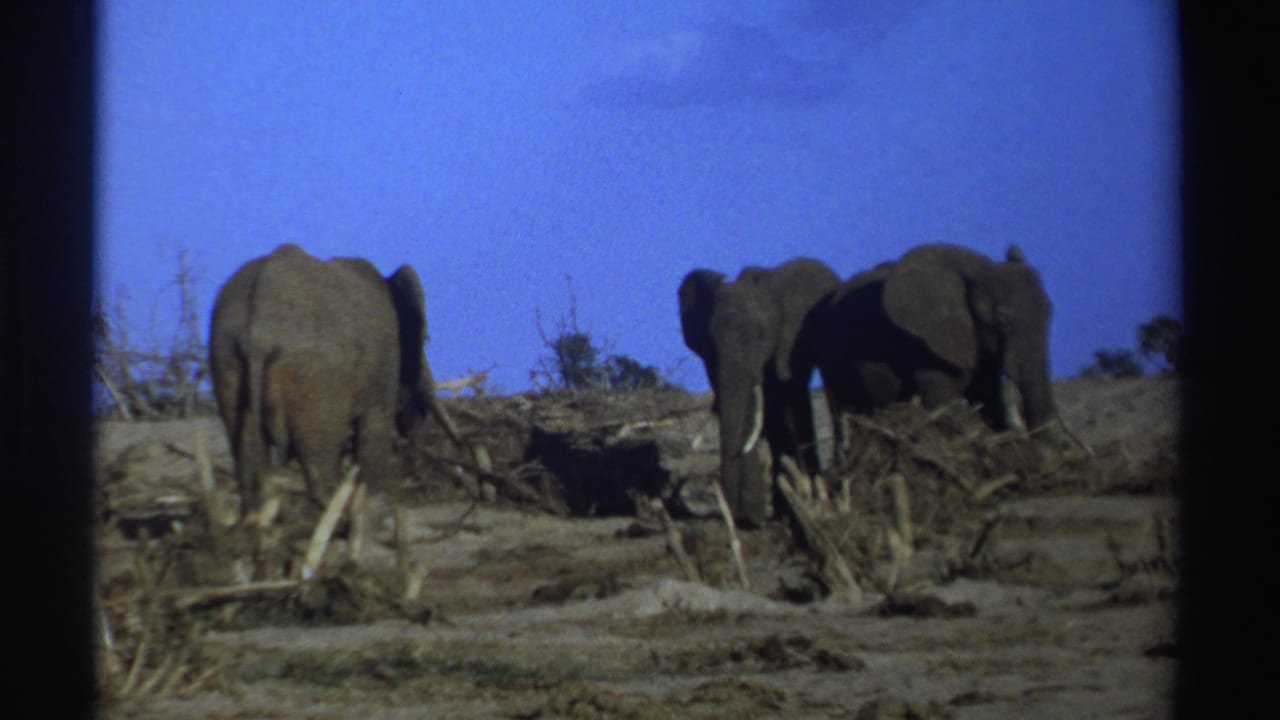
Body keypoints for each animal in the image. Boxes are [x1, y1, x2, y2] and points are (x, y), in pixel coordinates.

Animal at [208, 243, 465, 523]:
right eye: (426, 339)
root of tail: (260, 328)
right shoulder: (384, 362)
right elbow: (375, 431)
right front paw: (378, 512)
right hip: (316, 376)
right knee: (318, 466)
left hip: (227, 356)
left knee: (248, 460)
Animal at [679, 258, 841, 528]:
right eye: (711, 338)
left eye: (761, 336)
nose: (741, 518)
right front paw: (760, 515)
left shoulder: (786, 344)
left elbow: (779, 401)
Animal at [813, 244, 1056, 463]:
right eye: (1003, 321)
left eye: (1049, 313)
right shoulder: (925, 344)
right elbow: (942, 400)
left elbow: (988, 400)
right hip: (831, 356)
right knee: (845, 412)